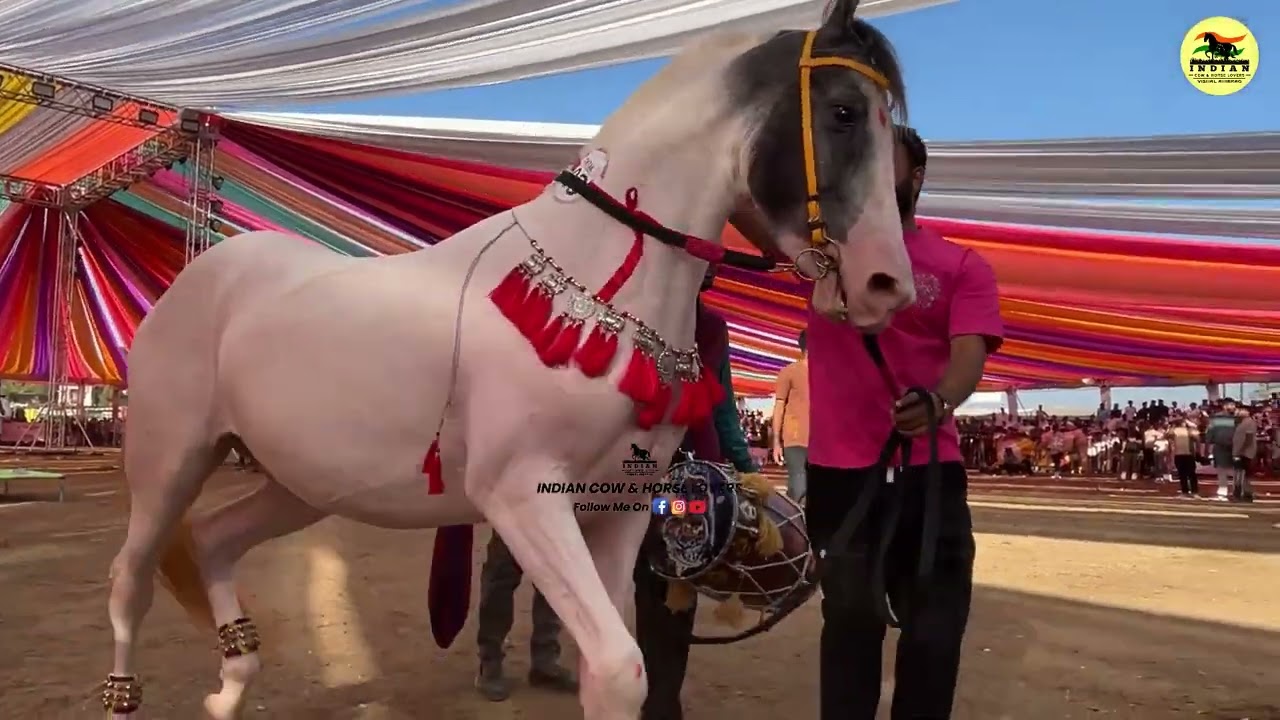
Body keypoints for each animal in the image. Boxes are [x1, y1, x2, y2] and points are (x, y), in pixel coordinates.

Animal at [101, 1, 914, 718]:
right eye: (844, 111)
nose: (888, 286)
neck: (594, 281)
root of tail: (202, 274)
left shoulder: (618, 511)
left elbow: (610, 664)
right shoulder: (523, 495)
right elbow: (617, 669)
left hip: (297, 482)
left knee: (214, 542)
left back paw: (230, 692)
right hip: (169, 459)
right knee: (129, 579)